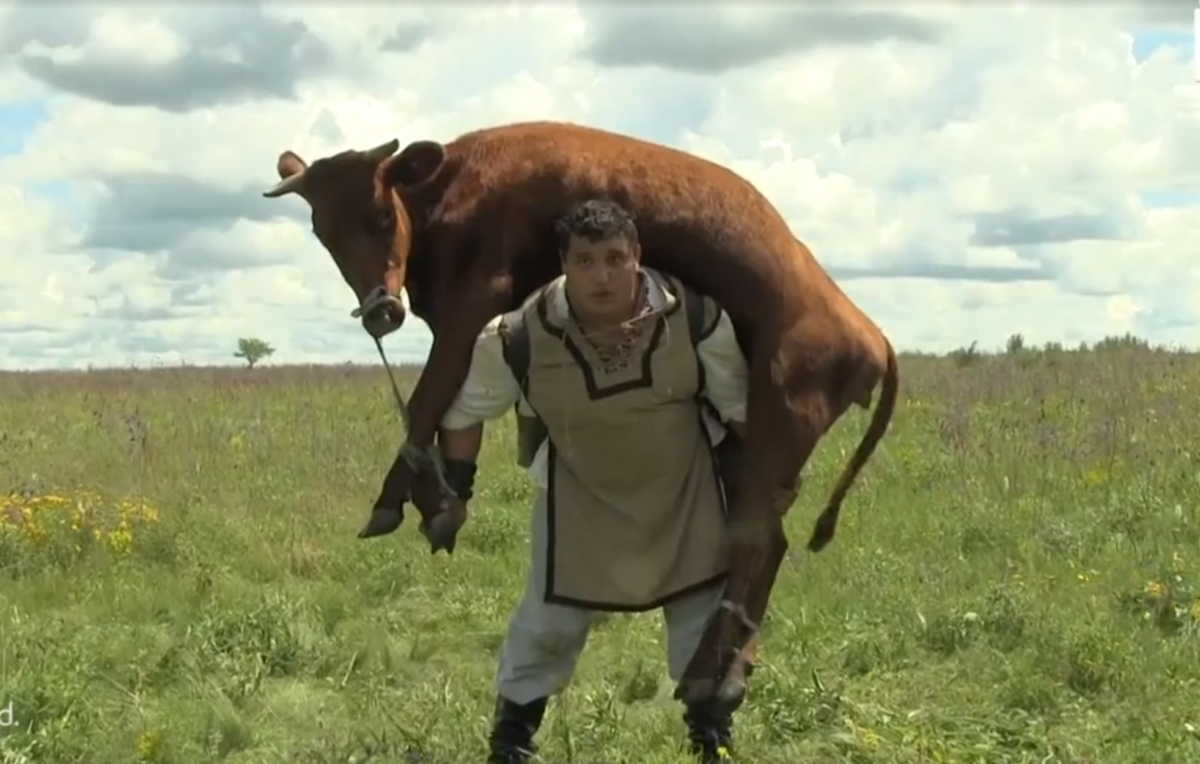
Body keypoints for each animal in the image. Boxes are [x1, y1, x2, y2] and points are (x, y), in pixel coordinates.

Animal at [265, 119, 902, 710]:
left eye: (379, 216)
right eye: (323, 232)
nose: (381, 311)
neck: (453, 191)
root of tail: (868, 330)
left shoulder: (477, 296)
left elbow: (428, 397)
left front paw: (397, 501)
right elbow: (450, 405)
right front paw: (442, 498)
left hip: (782, 420)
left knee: (756, 544)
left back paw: (710, 676)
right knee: (767, 543)